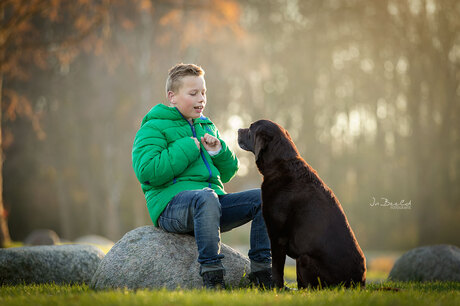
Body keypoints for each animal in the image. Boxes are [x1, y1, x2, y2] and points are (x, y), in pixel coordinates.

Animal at [239, 120, 364, 290]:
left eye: (251, 128)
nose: (238, 129)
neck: (280, 164)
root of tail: (359, 283)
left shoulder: (278, 236)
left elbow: (276, 268)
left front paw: (275, 288)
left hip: (304, 259)